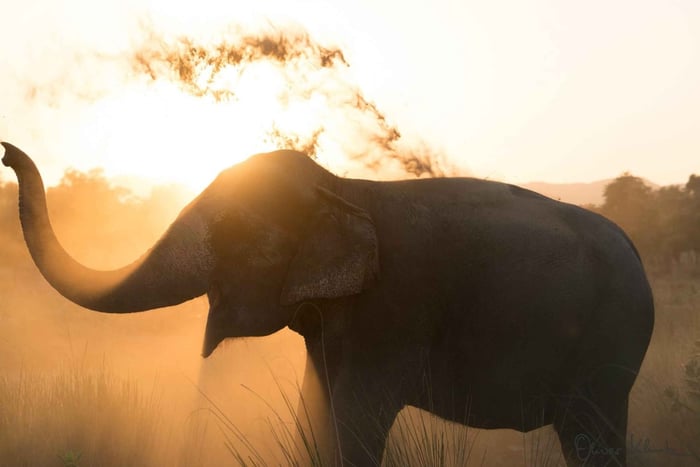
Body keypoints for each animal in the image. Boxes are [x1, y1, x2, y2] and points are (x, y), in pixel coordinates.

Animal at [2, 141, 654, 466]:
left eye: (231, 230)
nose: (7, 150)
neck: (339, 189)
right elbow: (315, 409)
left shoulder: (392, 312)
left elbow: (354, 419)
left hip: (609, 346)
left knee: (589, 434)